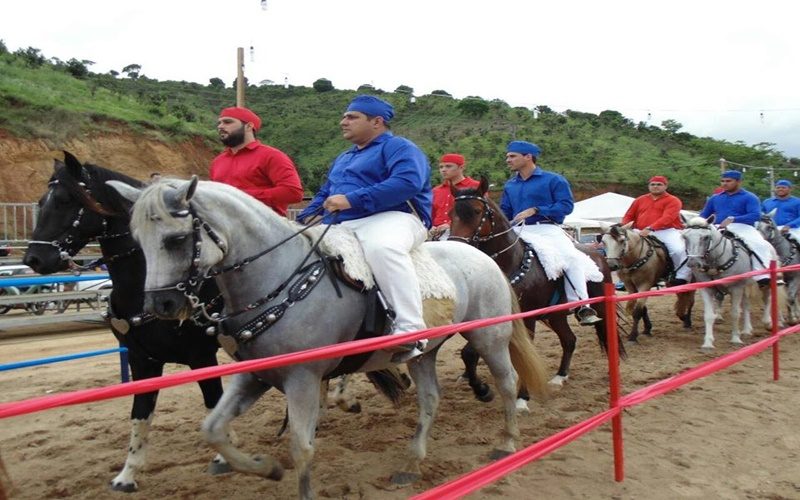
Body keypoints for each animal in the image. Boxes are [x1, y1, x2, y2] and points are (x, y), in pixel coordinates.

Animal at [21, 151, 227, 488]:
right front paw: (127, 474)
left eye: (65, 200)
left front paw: (223, 458)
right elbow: (140, 413)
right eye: (40, 201)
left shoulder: (202, 357)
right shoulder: (141, 360)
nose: (34, 259)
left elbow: (214, 401)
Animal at [109, 178, 552, 498]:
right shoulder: (254, 376)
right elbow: (213, 429)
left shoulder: (302, 379)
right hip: (423, 354)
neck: (280, 278)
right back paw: (411, 464)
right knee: (430, 399)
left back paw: (508, 444)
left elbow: (302, 448)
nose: (161, 304)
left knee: (508, 382)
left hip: (489, 337)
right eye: (138, 241)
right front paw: (264, 468)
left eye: (176, 239)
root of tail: (481, 256)